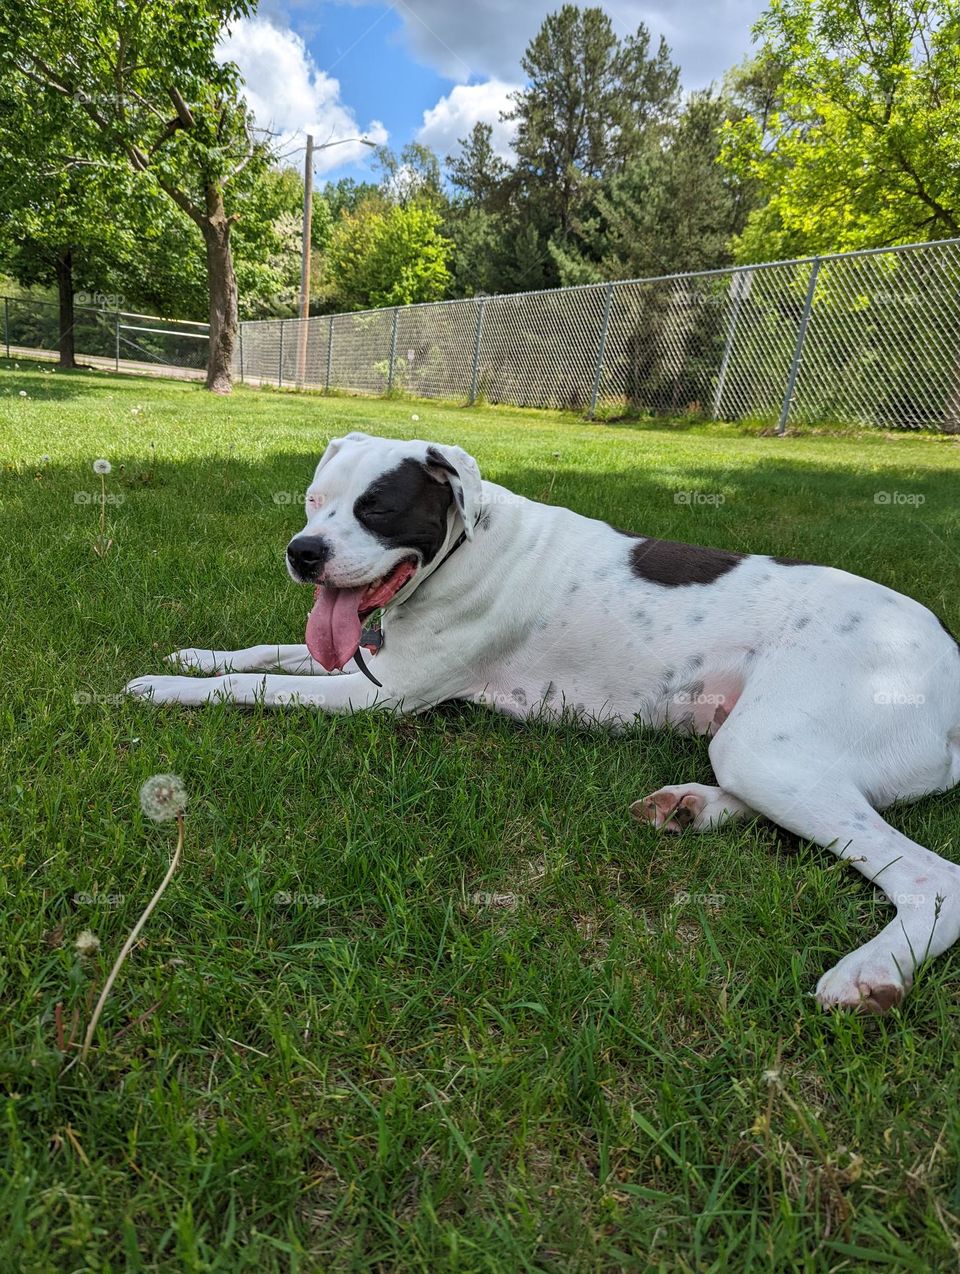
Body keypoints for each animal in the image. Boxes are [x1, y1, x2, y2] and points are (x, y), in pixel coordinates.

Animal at [131, 435, 957, 1014]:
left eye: (378, 509)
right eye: (312, 499)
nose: (302, 553)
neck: (465, 547)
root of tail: (949, 664)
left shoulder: (382, 697)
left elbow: (255, 682)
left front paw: (165, 687)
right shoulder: (366, 658)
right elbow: (263, 651)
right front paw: (193, 652)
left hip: (768, 746)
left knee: (931, 877)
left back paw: (871, 971)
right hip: (757, 746)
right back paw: (690, 807)